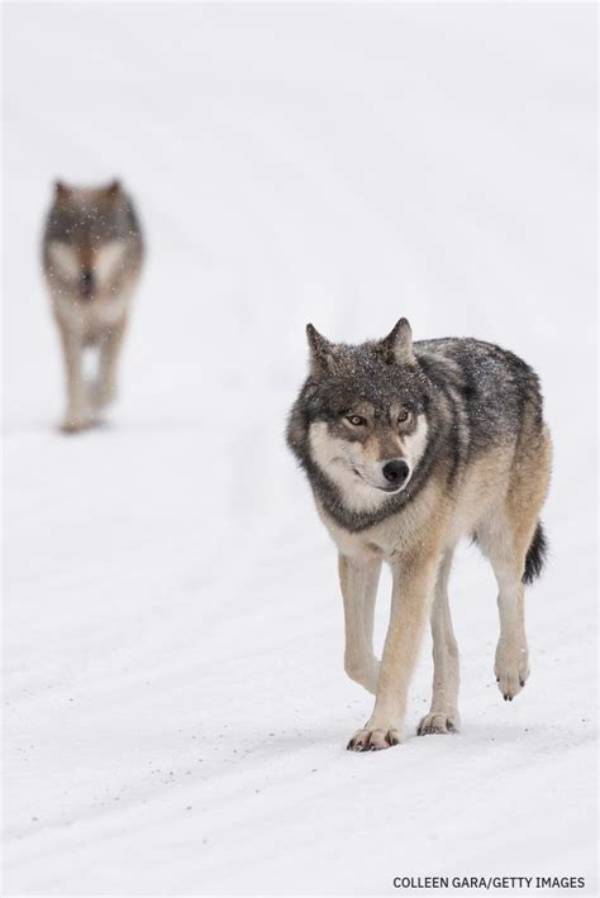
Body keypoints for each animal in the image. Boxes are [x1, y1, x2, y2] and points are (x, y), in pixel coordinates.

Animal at [42, 180, 144, 432]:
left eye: (101, 237)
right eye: (73, 238)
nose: (87, 276)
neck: (91, 302)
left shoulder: (116, 320)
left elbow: (107, 387)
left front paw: (92, 405)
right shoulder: (69, 324)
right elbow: (74, 377)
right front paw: (74, 418)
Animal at [287, 319, 552, 751]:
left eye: (403, 416)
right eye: (356, 420)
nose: (398, 470)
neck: (372, 510)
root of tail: (514, 361)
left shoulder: (410, 560)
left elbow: (397, 649)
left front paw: (380, 726)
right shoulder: (361, 557)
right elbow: (357, 656)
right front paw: (396, 701)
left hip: (497, 534)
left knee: (510, 590)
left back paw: (512, 668)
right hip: (434, 561)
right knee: (446, 643)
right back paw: (442, 714)